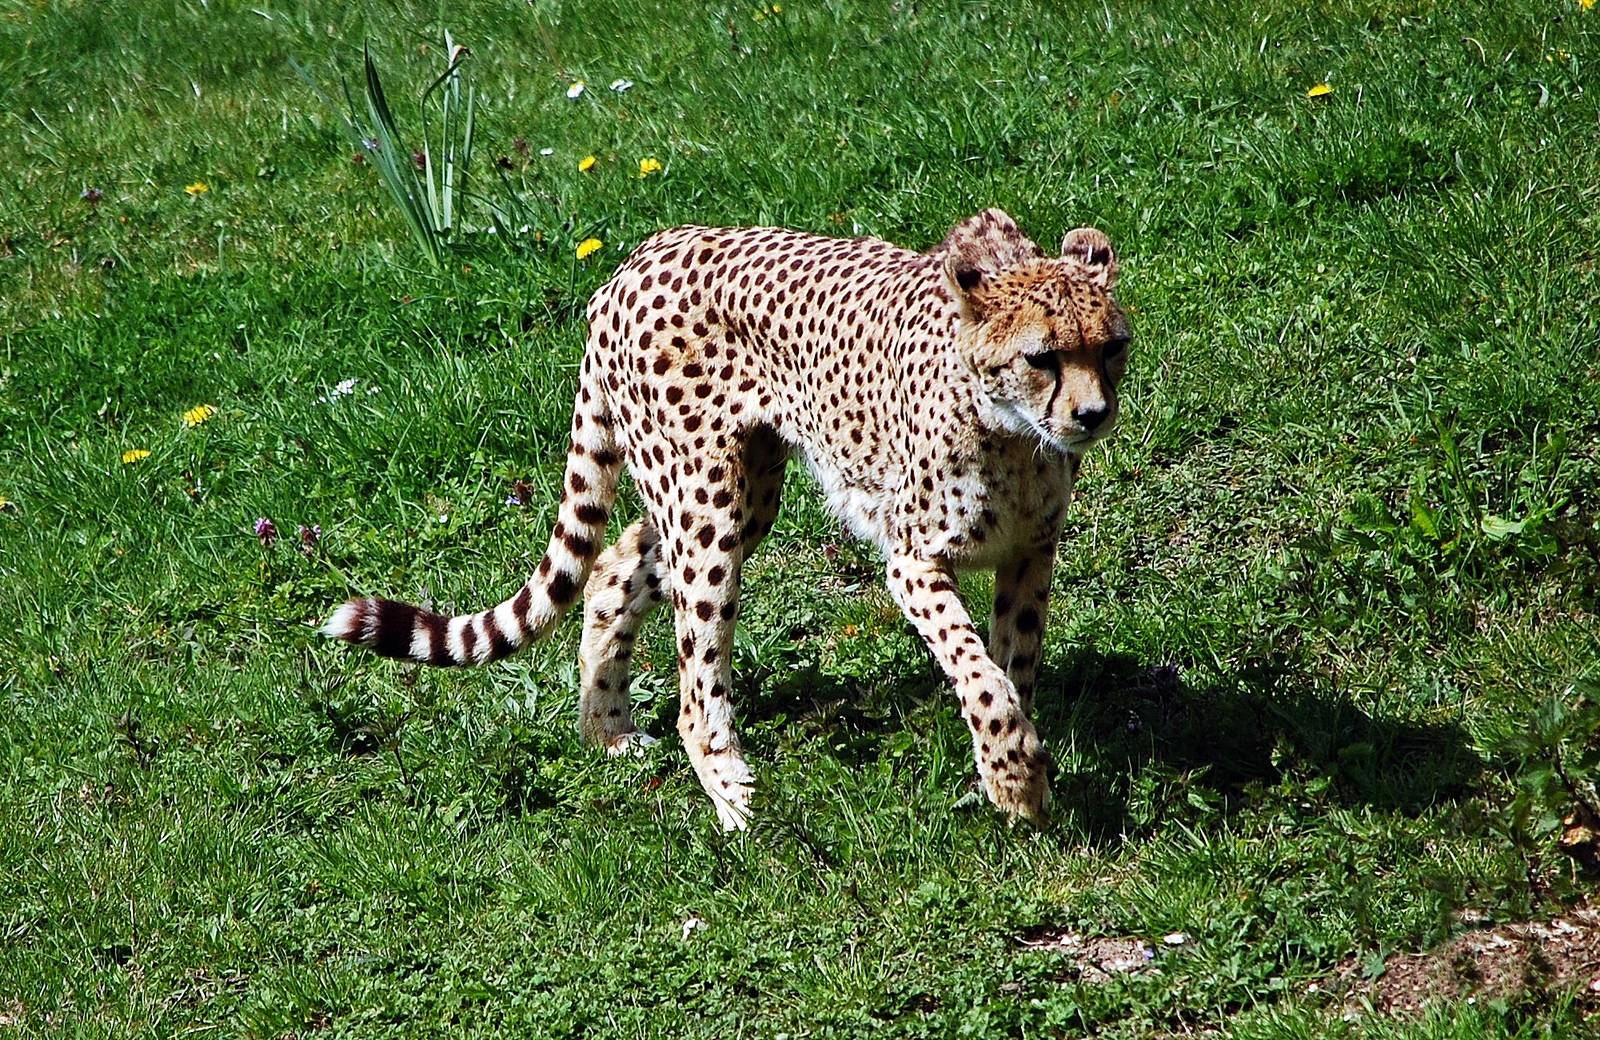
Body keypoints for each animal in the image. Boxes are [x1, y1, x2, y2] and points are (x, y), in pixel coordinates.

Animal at [324, 207, 1131, 830]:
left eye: (1113, 346)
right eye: (1042, 357)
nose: (1093, 415)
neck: (1017, 435)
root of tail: (632, 261)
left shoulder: (1029, 553)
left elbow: (1012, 666)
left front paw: (1015, 769)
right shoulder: (913, 559)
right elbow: (979, 672)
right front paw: (1015, 777)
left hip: (743, 496)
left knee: (614, 565)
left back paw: (606, 729)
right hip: (705, 499)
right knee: (692, 678)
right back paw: (730, 794)